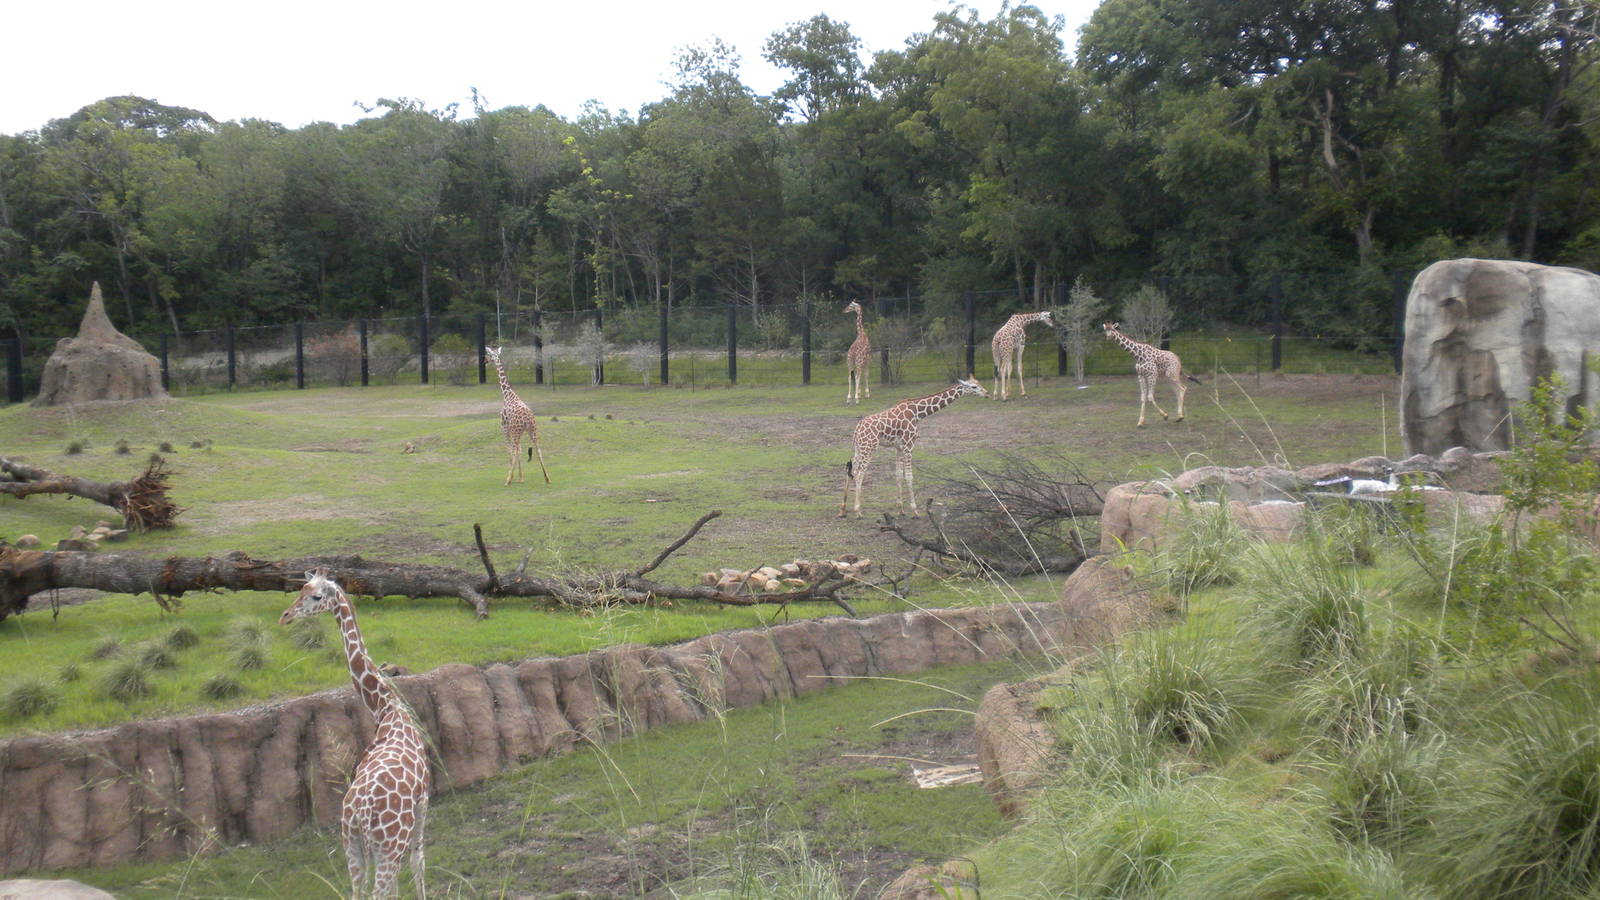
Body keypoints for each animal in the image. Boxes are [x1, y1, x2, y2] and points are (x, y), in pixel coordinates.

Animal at [280, 568, 430, 900]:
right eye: (300, 590)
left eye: (314, 595)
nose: (285, 616)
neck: (388, 711)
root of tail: (360, 812)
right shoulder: (423, 801)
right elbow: (419, 860)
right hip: (387, 846)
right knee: (380, 889)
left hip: (352, 846)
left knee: (358, 890)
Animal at [486, 346, 550, 485]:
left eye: (489, 355)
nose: (485, 361)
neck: (507, 394)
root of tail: (528, 419)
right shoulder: (515, 430)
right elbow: (520, 450)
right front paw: (521, 477)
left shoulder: (504, 427)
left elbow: (509, 449)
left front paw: (513, 476)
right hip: (532, 430)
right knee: (538, 449)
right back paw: (547, 478)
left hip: (516, 431)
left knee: (515, 449)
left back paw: (508, 480)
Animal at [838, 377, 989, 518]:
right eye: (974, 386)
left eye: (979, 384)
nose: (987, 393)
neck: (918, 413)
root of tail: (857, 429)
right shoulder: (909, 444)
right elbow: (909, 476)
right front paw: (915, 511)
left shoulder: (899, 447)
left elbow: (899, 475)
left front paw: (900, 509)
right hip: (869, 448)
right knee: (859, 474)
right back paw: (858, 511)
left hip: (859, 448)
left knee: (850, 471)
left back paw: (843, 510)